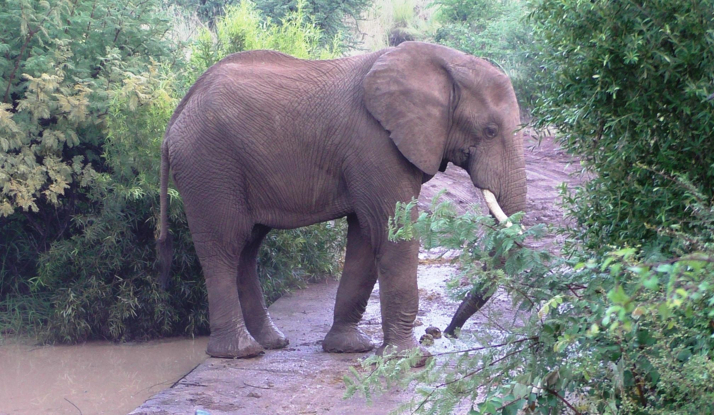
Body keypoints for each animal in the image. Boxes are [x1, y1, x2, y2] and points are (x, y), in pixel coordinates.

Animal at [156, 41, 524, 360]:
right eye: (490, 131)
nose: (445, 332)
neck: (443, 61)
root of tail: (176, 114)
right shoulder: (376, 143)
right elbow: (392, 233)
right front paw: (409, 359)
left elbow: (366, 237)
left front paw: (350, 348)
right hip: (209, 164)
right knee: (225, 246)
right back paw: (240, 352)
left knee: (248, 246)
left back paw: (271, 342)